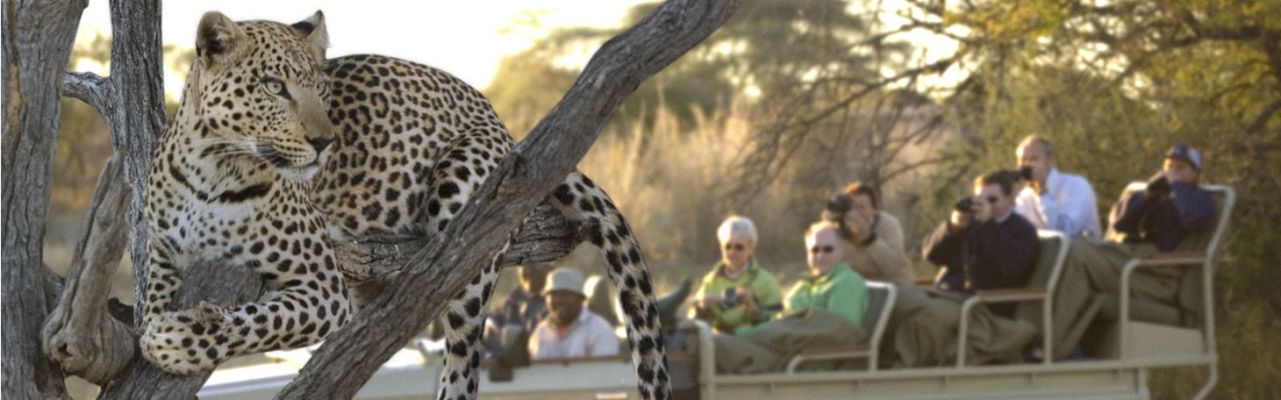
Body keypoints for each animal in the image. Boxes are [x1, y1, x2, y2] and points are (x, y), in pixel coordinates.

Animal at [140, 12, 353, 374]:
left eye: (319, 87)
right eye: (275, 86)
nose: (326, 142)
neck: (209, 171)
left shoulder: (324, 286)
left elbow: (264, 321)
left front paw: (177, 340)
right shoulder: (162, 250)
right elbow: (152, 296)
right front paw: (150, 325)